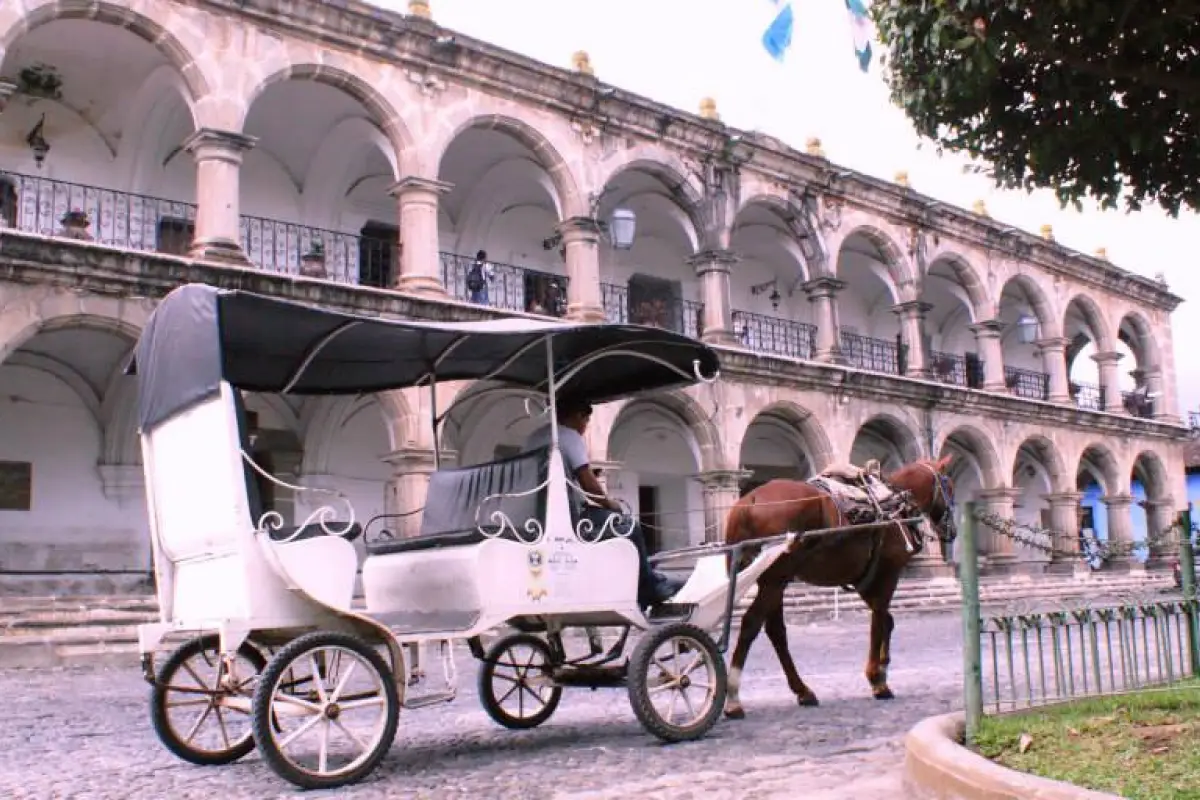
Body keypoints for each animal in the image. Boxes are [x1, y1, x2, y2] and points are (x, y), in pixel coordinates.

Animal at [720, 453, 955, 724]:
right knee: (751, 624)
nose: (952, 530)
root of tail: (748, 501)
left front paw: (882, 669)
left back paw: (802, 690)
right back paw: (733, 697)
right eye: (949, 485)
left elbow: (887, 620)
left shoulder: (864, 578)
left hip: (773, 581)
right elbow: (879, 620)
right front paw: (877, 679)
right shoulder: (887, 573)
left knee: (775, 631)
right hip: (774, 581)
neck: (895, 504)